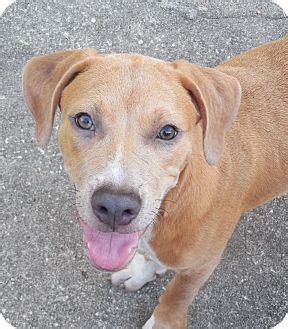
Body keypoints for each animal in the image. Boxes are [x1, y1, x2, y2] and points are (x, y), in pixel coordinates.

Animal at [21, 35, 286, 326]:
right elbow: (152, 256)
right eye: (84, 120)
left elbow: (176, 295)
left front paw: (163, 321)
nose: (115, 206)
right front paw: (143, 272)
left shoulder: (201, 266)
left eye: (168, 132)